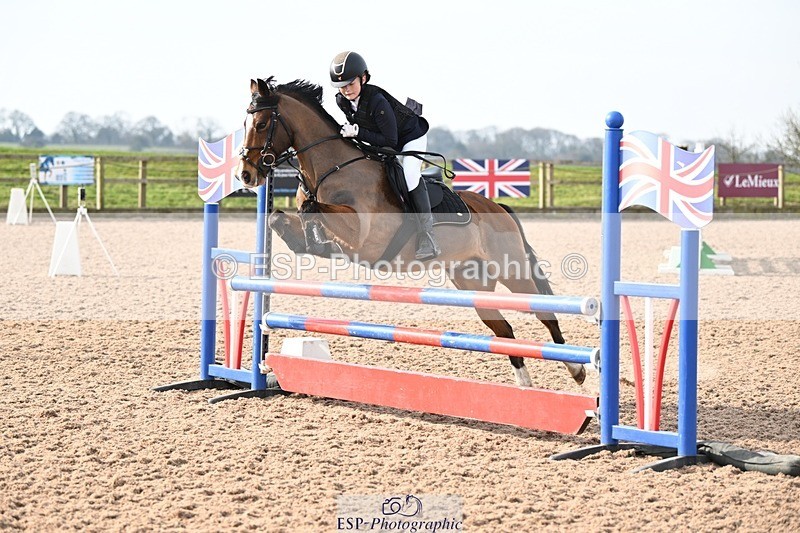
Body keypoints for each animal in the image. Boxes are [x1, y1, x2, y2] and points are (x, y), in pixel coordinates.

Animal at [236, 77, 586, 388]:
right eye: (245, 122)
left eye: (263, 124)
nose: (246, 174)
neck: (333, 169)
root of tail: (499, 208)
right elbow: (281, 217)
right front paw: (312, 242)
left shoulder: (365, 237)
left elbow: (312, 208)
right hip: (472, 281)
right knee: (504, 330)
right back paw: (524, 384)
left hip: (511, 271)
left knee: (544, 312)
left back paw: (576, 369)